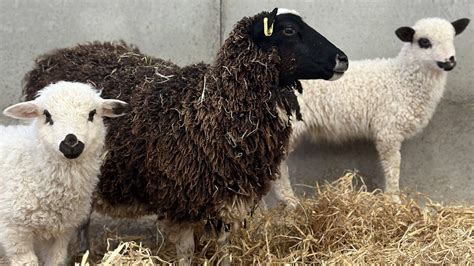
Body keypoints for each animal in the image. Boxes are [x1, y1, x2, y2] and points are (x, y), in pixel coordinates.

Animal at [0, 81, 129, 266]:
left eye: (92, 113)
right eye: (46, 114)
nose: (71, 142)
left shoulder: (61, 232)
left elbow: (57, 259)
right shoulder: (14, 232)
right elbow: (27, 261)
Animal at [270, 17, 470, 206]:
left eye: (452, 38)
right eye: (424, 42)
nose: (449, 61)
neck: (402, 79)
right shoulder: (388, 130)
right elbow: (393, 165)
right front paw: (393, 199)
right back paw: (290, 201)